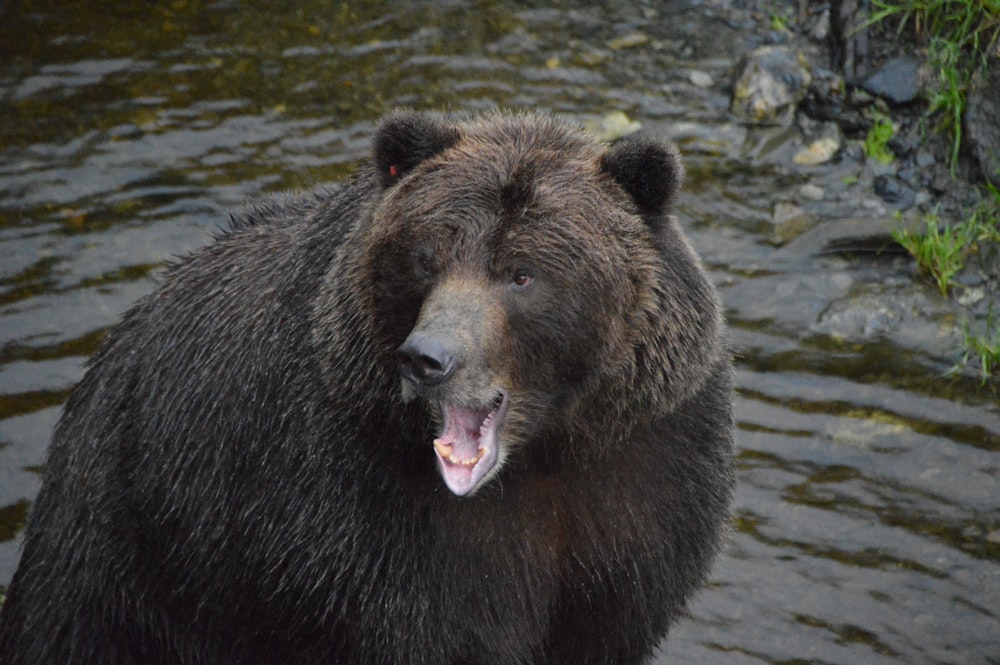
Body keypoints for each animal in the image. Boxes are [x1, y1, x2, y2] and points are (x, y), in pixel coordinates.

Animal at [0, 110, 736, 664]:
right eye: (427, 257)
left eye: (522, 273)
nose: (427, 358)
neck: (538, 460)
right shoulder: (353, 514)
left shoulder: (640, 486)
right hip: (127, 556)